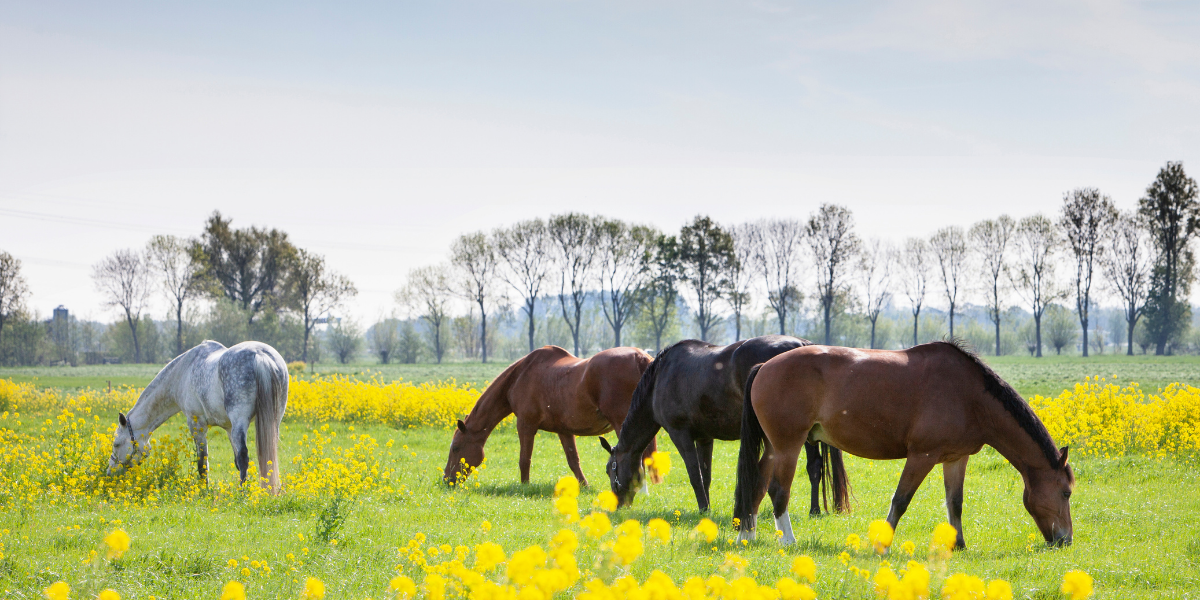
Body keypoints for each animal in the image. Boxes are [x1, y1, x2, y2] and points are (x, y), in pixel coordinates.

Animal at [106, 340, 289, 492]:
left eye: (116, 444)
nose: (110, 473)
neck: (183, 373)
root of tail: (260, 355)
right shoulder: (229, 428)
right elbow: (236, 461)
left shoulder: (197, 425)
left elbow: (203, 462)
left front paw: (203, 489)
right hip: (272, 421)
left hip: (240, 419)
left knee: (244, 456)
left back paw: (242, 492)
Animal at [443, 345, 659, 487]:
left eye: (455, 448)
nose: (446, 479)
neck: (520, 376)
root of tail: (639, 357)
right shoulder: (564, 431)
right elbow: (573, 461)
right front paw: (584, 485)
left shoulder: (526, 426)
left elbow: (524, 460)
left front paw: (525, 486)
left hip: (622, 424)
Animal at [601, 335, 850, 518]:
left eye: (609, 469)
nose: (618, 505)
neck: (660, 378)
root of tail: (802, 344)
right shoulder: (704, 438)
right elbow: (706, 475)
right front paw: (707, 507)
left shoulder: (680, 435)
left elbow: (695, 475)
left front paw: (704, 509)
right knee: (814, 466)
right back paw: (815, 510)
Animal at [734, 341, 1074, 548]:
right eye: (1066, 492)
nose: (1065, 540)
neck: (969, 395)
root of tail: (764, 366)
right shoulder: (922, 456)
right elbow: (901, 500)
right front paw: (882, 545)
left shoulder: (956, 458)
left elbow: (955, 503)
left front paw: (959, 544)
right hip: (788, 446)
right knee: (778, 490)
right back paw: (787, 541)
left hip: (774, 447)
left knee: (757, 482)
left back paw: (746, 536)